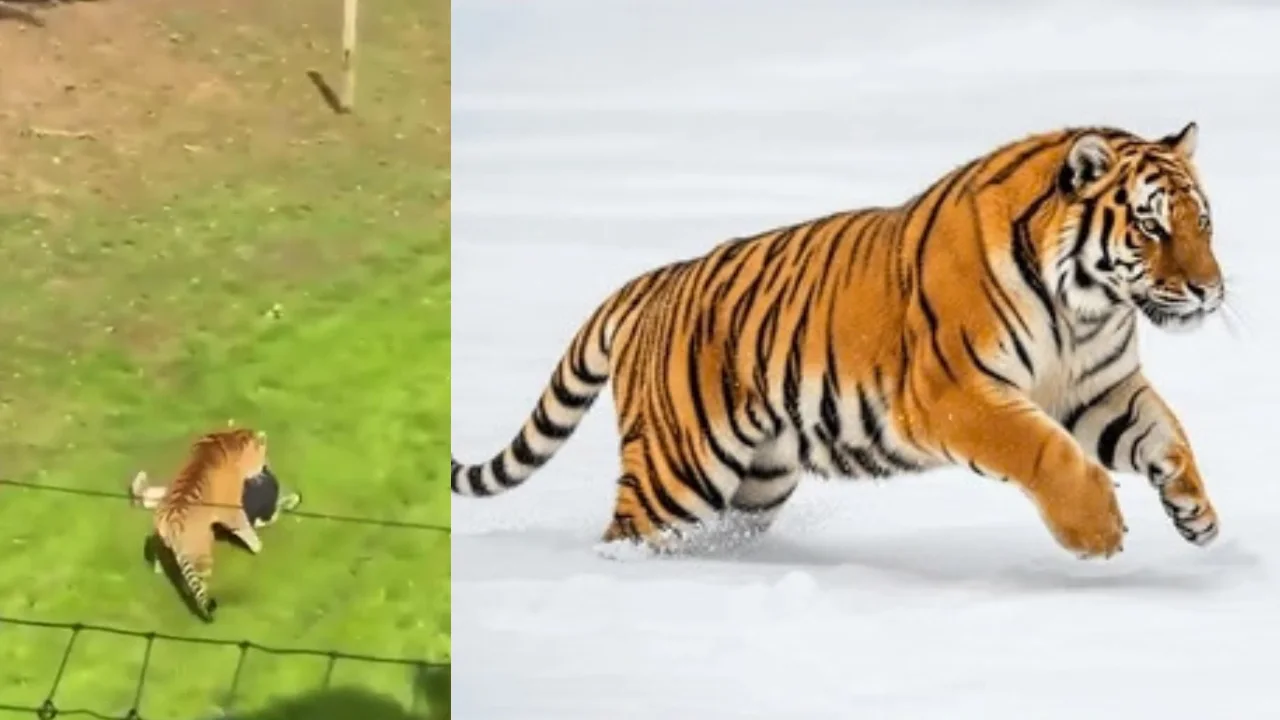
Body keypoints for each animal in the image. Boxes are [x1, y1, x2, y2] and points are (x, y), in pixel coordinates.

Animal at [140, 427, 272, 622]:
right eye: (263, 454)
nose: (265, 467)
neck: (231, 439)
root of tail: (172, 520)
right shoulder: (231, 509)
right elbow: (244, 527)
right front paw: (257, 546)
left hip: (162, 538)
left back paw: (159, 569)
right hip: (201, 554)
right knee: (198, 584)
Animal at [451, 122, 1225, 561]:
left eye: (1203, 223)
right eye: (1151, 226)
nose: (1210, 291)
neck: (1085, 307)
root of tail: (653, 279)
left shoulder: (1098, 388)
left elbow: (1167, 433)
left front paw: (1196, 513)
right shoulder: (954, 392)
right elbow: (1045, 453)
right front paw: (1097, 532)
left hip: (758, 479)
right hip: (677, 471)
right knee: (625, 534)